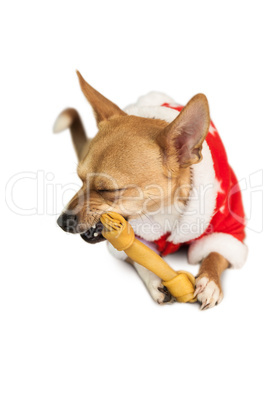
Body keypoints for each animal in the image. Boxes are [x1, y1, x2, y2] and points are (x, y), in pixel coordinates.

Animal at [54, 72, 247, 310]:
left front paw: (209, 282)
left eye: (107, 189)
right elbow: (142, 257)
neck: (164, 208)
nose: (61, 221)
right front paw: (157, 282)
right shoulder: (134, 238)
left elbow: (215, 254)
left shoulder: (231, 230)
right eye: (80, 180)